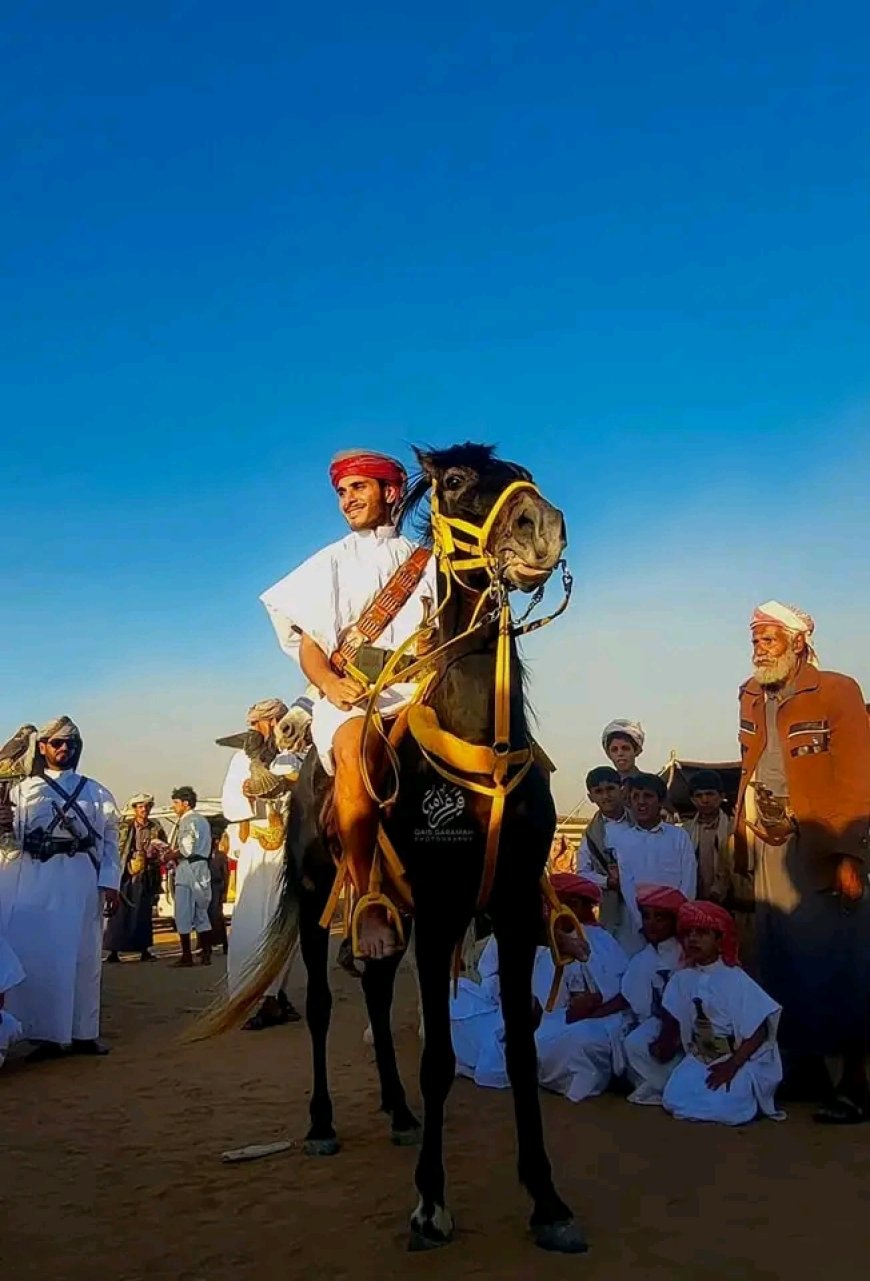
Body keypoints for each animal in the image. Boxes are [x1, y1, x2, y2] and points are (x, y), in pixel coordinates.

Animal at [201, 445, 584, 1255]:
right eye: (454, 482)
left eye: (526, 472)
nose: (542, 529)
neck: (483, 751)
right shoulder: (441, 913)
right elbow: (438, 1058)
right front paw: (430, 1204)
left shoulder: (509, 911)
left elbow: (522, 1051)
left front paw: (546, 1199)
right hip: (319, 895)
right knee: (321, 1004)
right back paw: (322, 1124)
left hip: (388, 911)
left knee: (375, 990)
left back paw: (400, 1111)